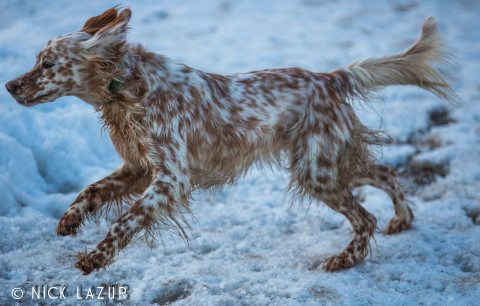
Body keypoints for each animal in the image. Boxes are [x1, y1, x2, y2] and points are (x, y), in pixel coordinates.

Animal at [5, 7, 460, 274]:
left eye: (47, 64)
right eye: (37, 60)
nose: (9, 86)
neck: (130, 87)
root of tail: (330, 78)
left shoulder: (169, 179)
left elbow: (126, 220)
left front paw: (96, 257)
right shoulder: (139, 168)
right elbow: (92, 190)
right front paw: (69, 220)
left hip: (315, 171)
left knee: (365, 217)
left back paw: (343, 260)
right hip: (328, 162)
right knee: (385, 172)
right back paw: (402, 219)